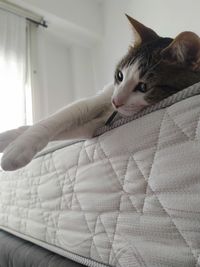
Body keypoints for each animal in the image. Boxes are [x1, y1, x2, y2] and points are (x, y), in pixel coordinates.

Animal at [0, 15, 200, 172]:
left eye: (143, 87)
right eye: (120, 75)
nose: (116, 102)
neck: (112, 111)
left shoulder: (94, 125)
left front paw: (15, 149)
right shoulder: (103, 96)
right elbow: (59, 117)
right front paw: (13, 139)